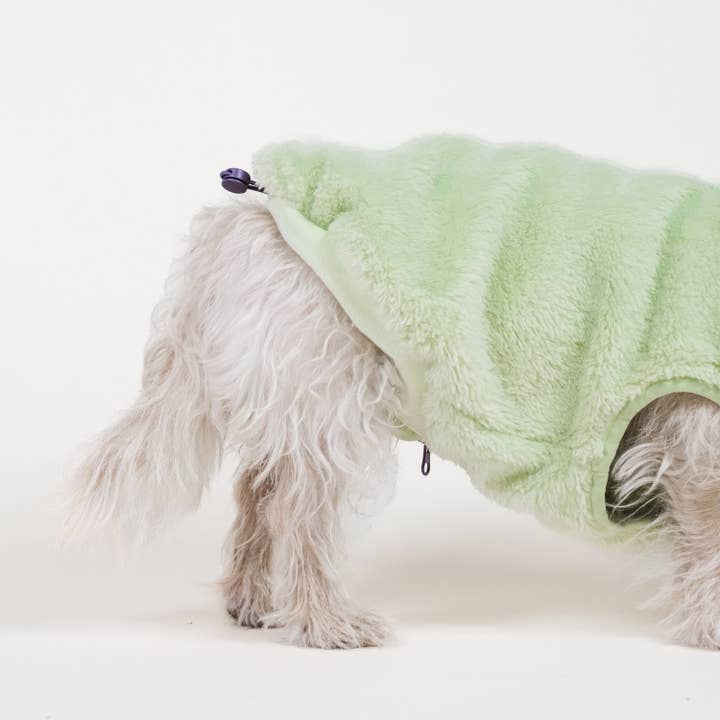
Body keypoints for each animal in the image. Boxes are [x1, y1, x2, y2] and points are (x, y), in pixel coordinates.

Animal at [70, 140, 720, 650]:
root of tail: (247, 213)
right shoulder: (697, 439)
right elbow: (708, 539)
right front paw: (710, 627)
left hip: (288, 392)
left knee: (258, 488)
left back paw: (251, 598)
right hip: (330, 392)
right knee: (297, 511)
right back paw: (326, 622)